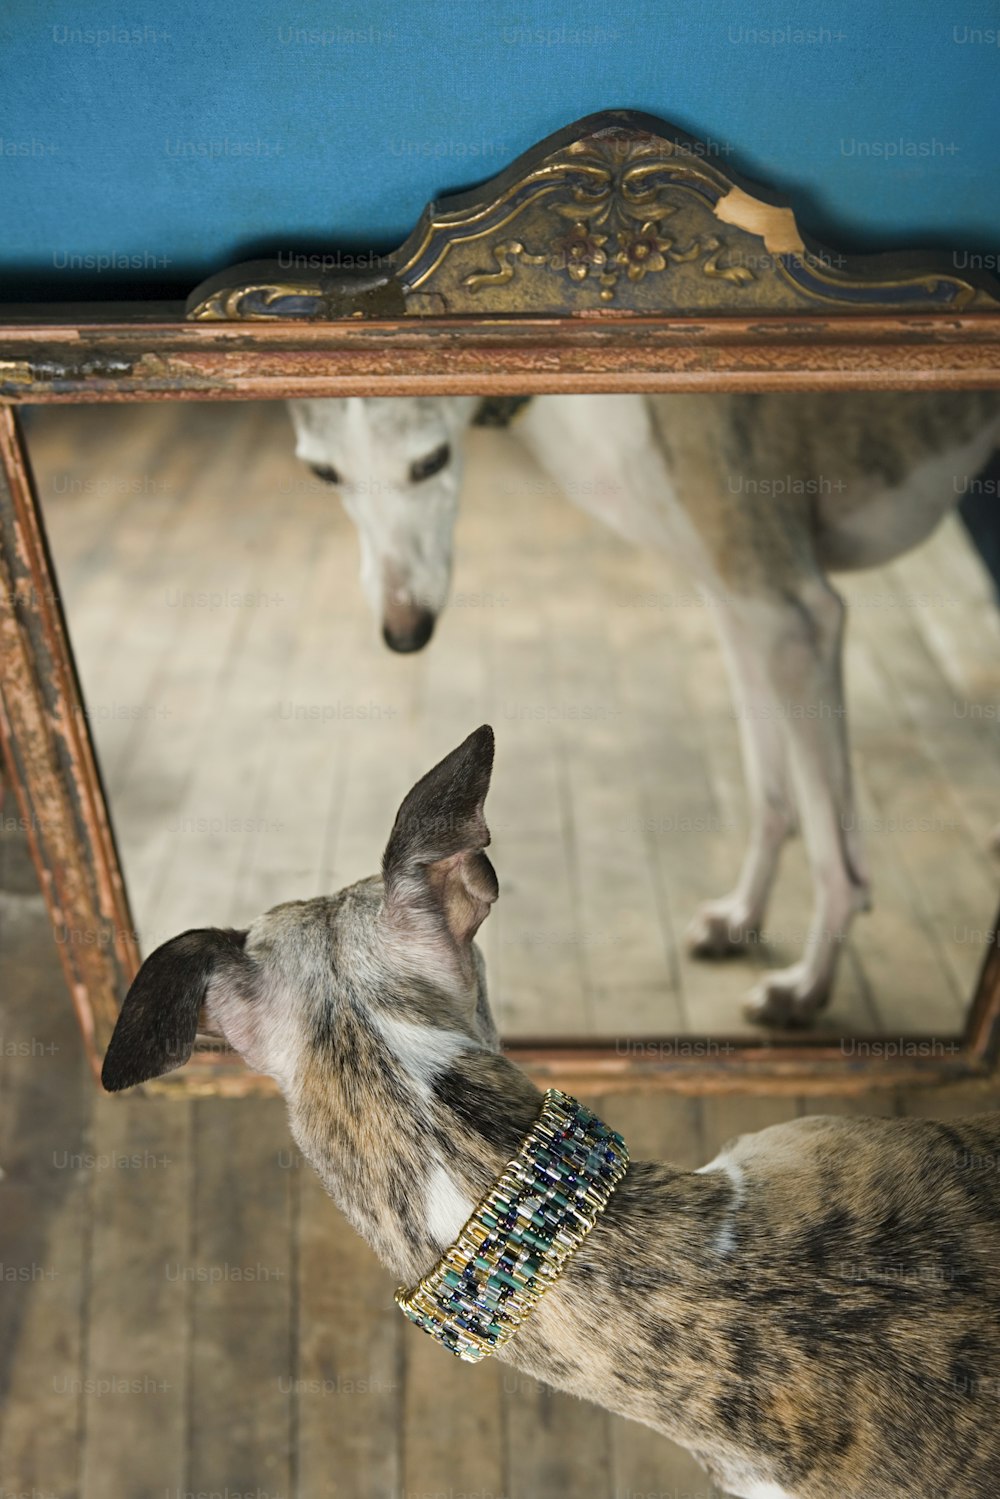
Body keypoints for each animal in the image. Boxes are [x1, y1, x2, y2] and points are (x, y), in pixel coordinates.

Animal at [287, 392, 1000, 1025]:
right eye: (323, 472)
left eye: (431, 460)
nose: (405, 634)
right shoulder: (739, 605)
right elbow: (770, 794)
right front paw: (742, 917)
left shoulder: (794, 614)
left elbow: (834, 857)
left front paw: (806, 988)